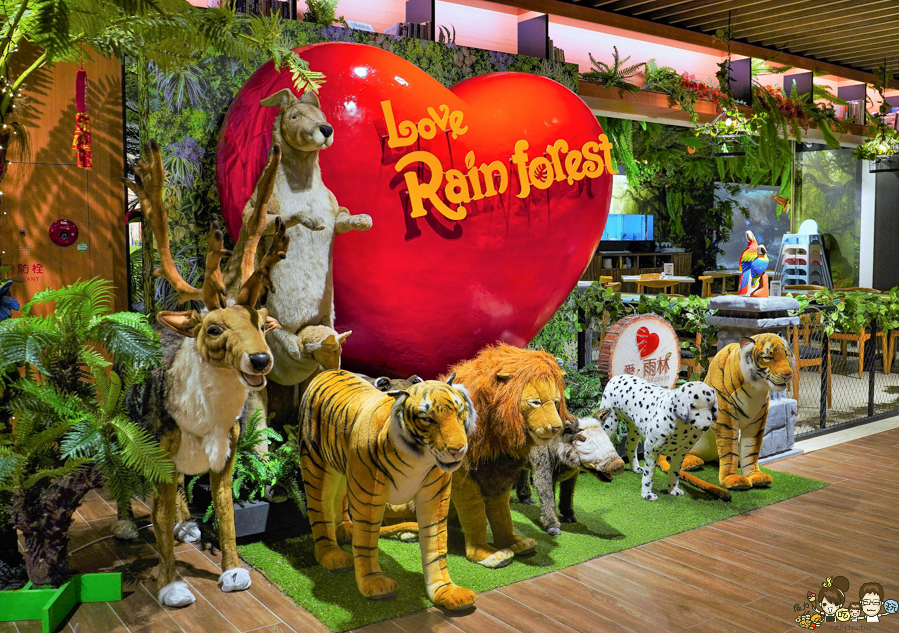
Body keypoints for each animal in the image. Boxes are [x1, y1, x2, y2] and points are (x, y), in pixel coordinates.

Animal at [298, 368, 478, 608]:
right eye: (427, 419)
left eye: (459, 413)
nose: (459, 449)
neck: (418, 458)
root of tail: (330, 370)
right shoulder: (367, 495)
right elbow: (365, 542)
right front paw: (374, 584)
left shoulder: (435, 497)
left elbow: (436, 546)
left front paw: (446, 591)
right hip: (315, 465)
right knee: (319, 510)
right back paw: (332, 556)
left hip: (344, 470)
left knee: (339, 499)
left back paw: (345, 530)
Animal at [684, 336, 796, 488]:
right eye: (767, 357)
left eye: (786, 355)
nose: (788, 375)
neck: (756, 388)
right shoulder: (726, 419)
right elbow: (729, 451)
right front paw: (732, 479)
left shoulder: (757, 420)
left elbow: (751, 450)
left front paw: (755, 475)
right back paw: (690, 462)